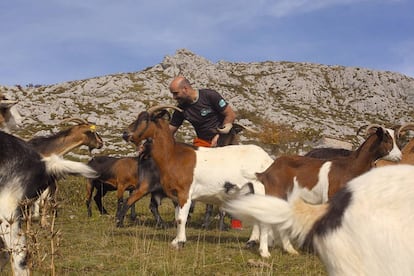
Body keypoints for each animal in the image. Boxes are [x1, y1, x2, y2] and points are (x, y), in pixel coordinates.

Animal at [118, 105, 274, 250]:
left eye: (145, 119)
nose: (125, 134)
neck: (173, 156)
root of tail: (267, 159)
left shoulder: (185, 193)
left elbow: (181, 218)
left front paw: (180, 242)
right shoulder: (175, 196)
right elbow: (178, 217)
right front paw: (176, 241)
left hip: (260, 189)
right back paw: (251, 242)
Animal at [249, 124, 402, 256]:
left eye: (396, 138)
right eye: (387, 139)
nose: (399, 156)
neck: (350, 167)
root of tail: (268, 170)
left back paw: (290, 250)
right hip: (275, 193)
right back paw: (264, 252)